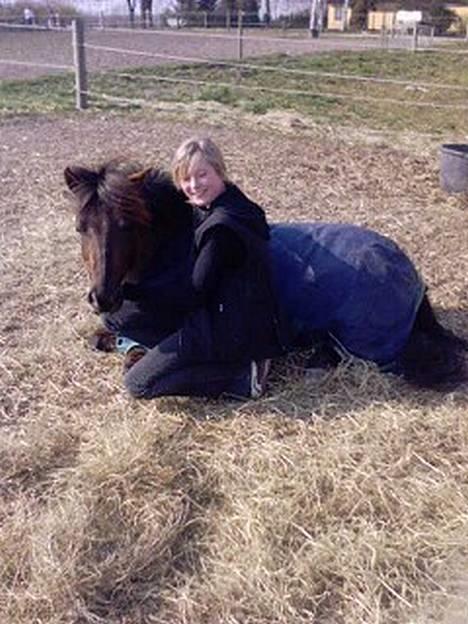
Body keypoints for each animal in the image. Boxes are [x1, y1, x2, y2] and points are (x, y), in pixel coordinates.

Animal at [64, 160, 466, 390]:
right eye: (81, 227)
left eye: (128, 226)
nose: (103, 297)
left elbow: (131, 354)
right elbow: (101, 338)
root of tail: (411, 276)